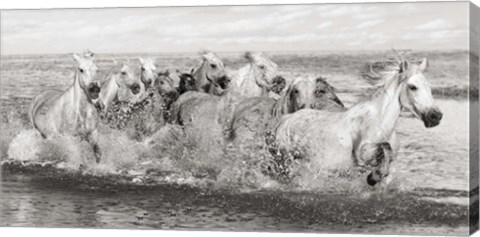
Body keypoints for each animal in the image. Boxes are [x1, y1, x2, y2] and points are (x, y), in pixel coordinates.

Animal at [272, 55, 440, 185]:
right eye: (413, 87)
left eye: (429, 87)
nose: (436, 116)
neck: (381, 123)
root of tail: (286, 119)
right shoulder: (362, 152)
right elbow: (384, 147)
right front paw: (373, 177)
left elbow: (387, 156)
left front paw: (375, 177)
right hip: (286, 161)